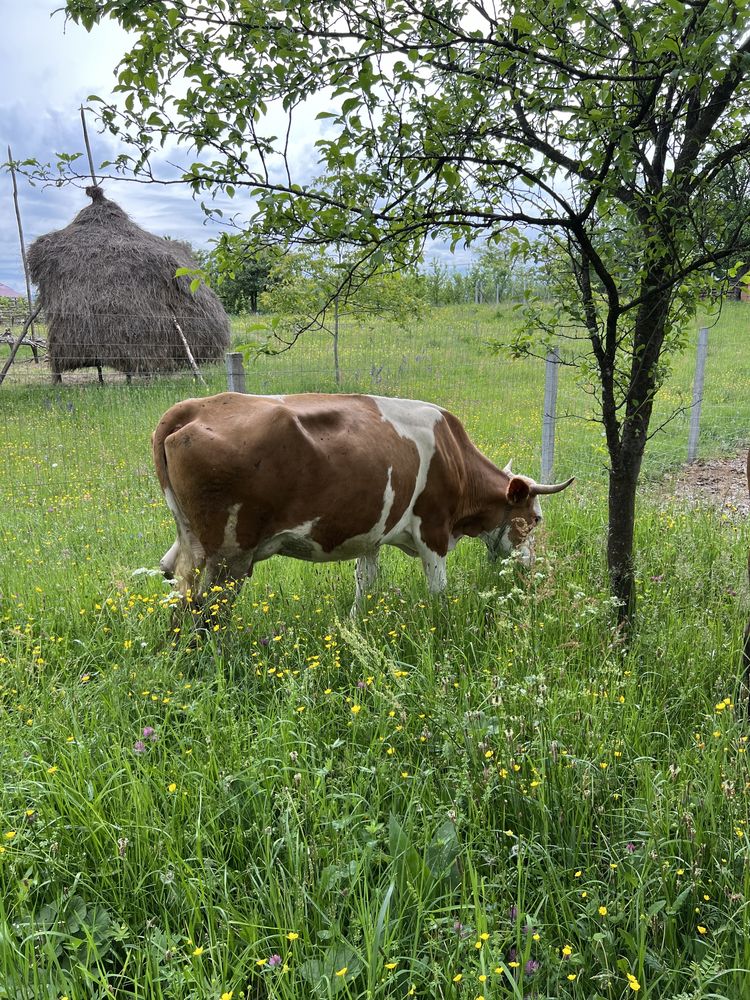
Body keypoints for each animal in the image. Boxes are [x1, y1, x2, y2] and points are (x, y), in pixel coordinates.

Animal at [153, 392, 576, 616]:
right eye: (535, 518)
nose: (530, 568)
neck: (454, 457)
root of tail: (195, 407)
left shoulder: (370, 536)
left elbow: (365, 584)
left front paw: (356, 625)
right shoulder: (434, 530)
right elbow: (438, 589)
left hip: (189, 542)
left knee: (174, 584)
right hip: (228, 555)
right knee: (202, 609)